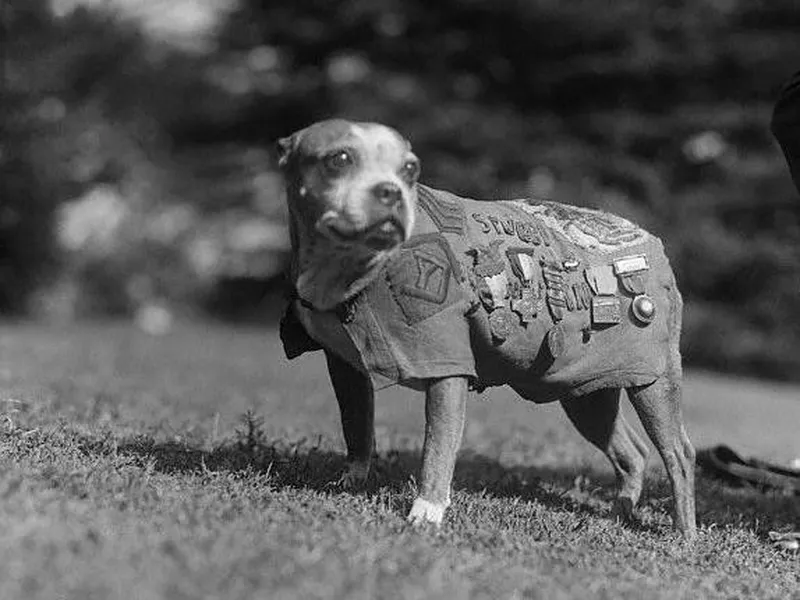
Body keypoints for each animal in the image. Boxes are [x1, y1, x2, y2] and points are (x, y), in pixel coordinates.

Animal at [278, 118, 696, 540]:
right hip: (586, 392)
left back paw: (683, 532)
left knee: (678, 453)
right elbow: (357, 427)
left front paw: (427, 512)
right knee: (632, 452)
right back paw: (620, 512)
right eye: (338, 159)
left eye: (410, 169)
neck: (351, 268)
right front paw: (351, 482)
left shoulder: (447, 369)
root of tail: (651, 243)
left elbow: (438, 446)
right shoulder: (345, 368)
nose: (390, 191)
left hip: (654, 382)